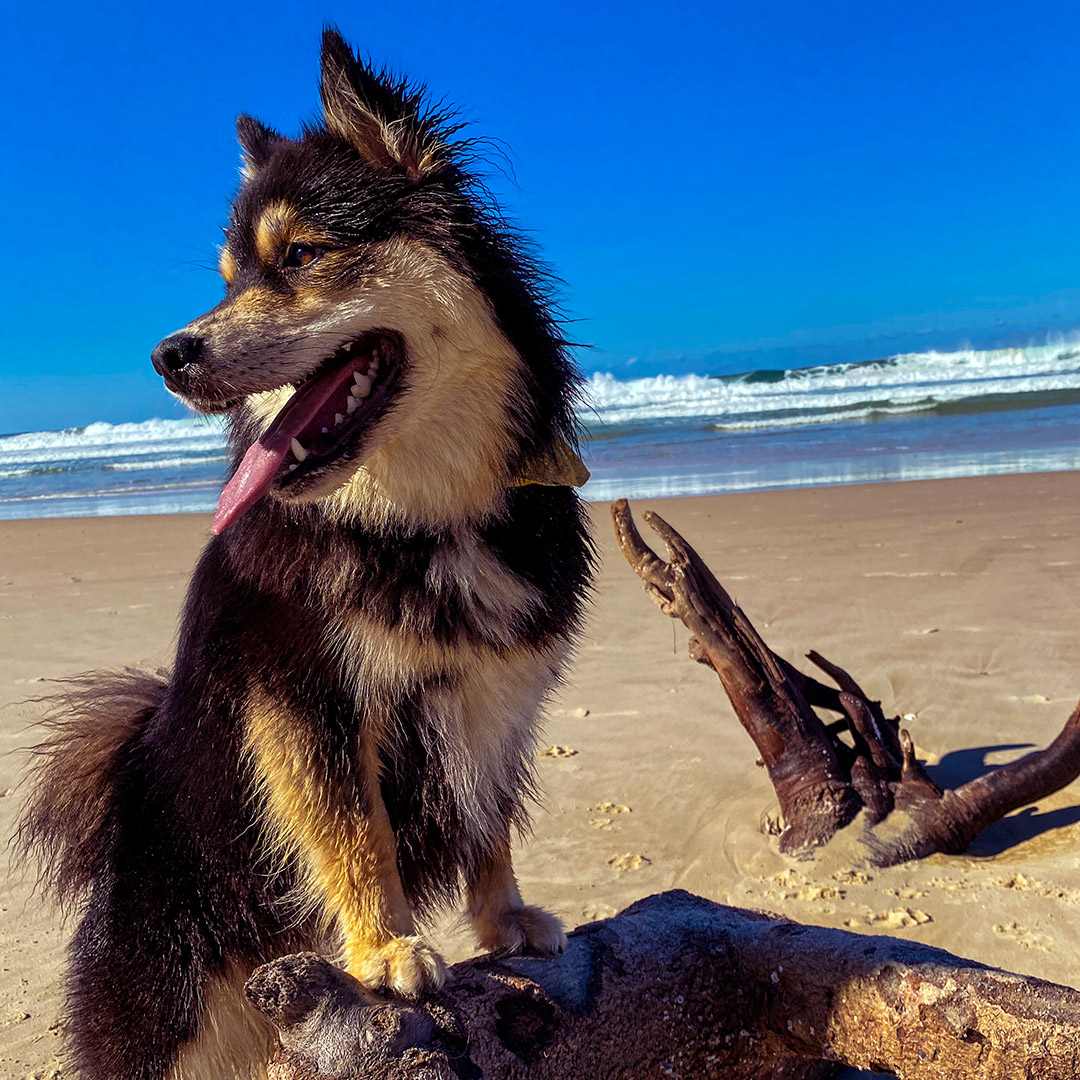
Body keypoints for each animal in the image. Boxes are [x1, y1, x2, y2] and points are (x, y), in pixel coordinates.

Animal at [19, 27, 591, 1080]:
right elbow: (352, 827)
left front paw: (503, 921)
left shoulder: (492, 696)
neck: (419, 520)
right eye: (229, 280)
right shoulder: (300, 692)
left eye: (300, 256)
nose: (168, 357)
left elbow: (487, 820)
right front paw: (386, 949)